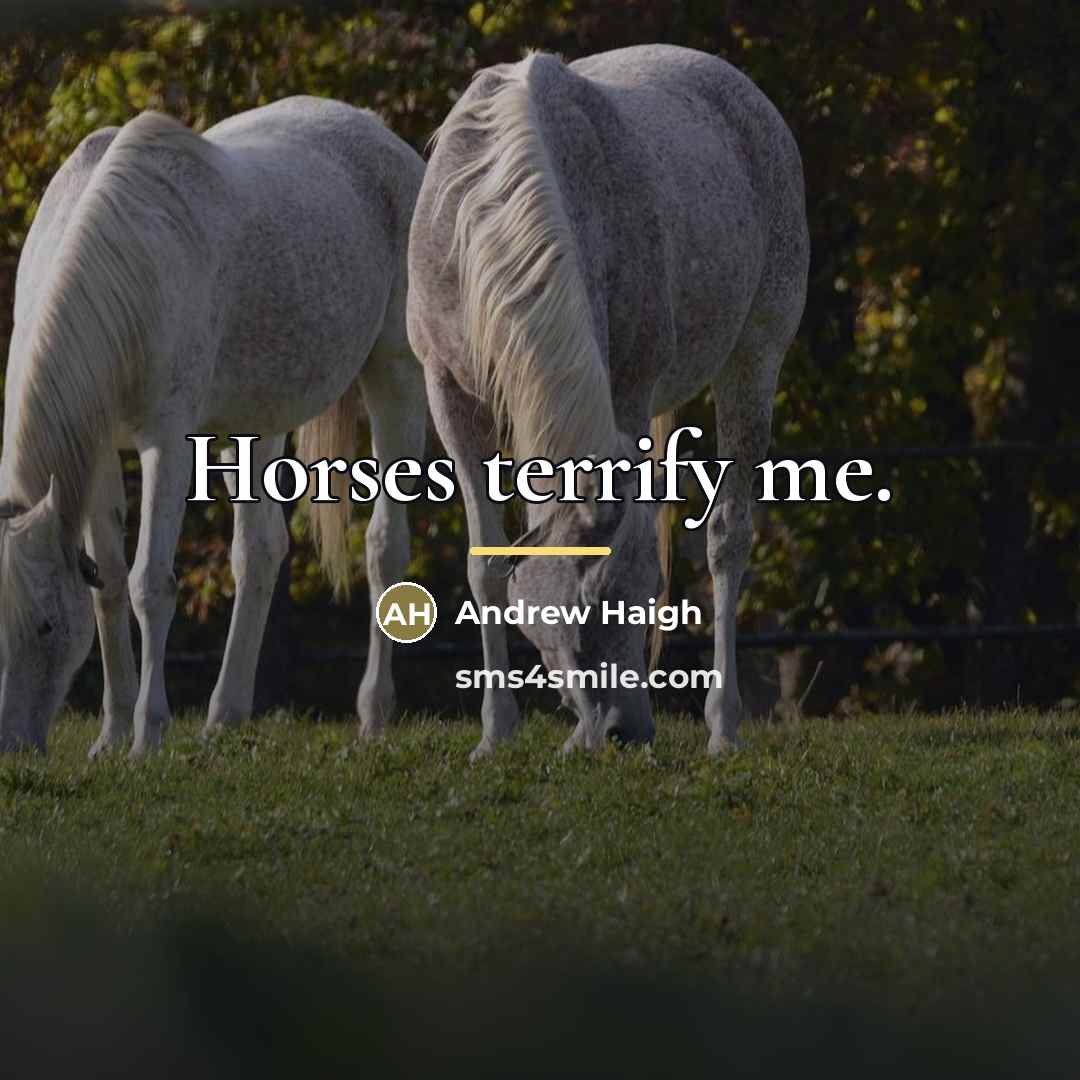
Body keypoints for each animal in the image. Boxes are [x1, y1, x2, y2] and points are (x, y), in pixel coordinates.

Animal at [0, 96, 426, 755]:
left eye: (45, 626)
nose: (13, 747)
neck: (127, 265)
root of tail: (382, 135)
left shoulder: (167, 443)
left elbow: (150, 583)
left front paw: (146, 736)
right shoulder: (97, 451)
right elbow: (110, 586)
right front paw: (112, 732)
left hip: (394, 375)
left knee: (385, 546)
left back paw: (373, 716)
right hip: (253, 424)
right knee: (260, 551)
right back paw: (224, 714)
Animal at [407, 45, 809, 758]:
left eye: (647, 593)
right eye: (585, 605)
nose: (627, 732)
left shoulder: (627, 391)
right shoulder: (447, 391)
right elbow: (486, 564)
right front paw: (495, 734)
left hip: (755, 359)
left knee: (728, 538)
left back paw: (723, 729)